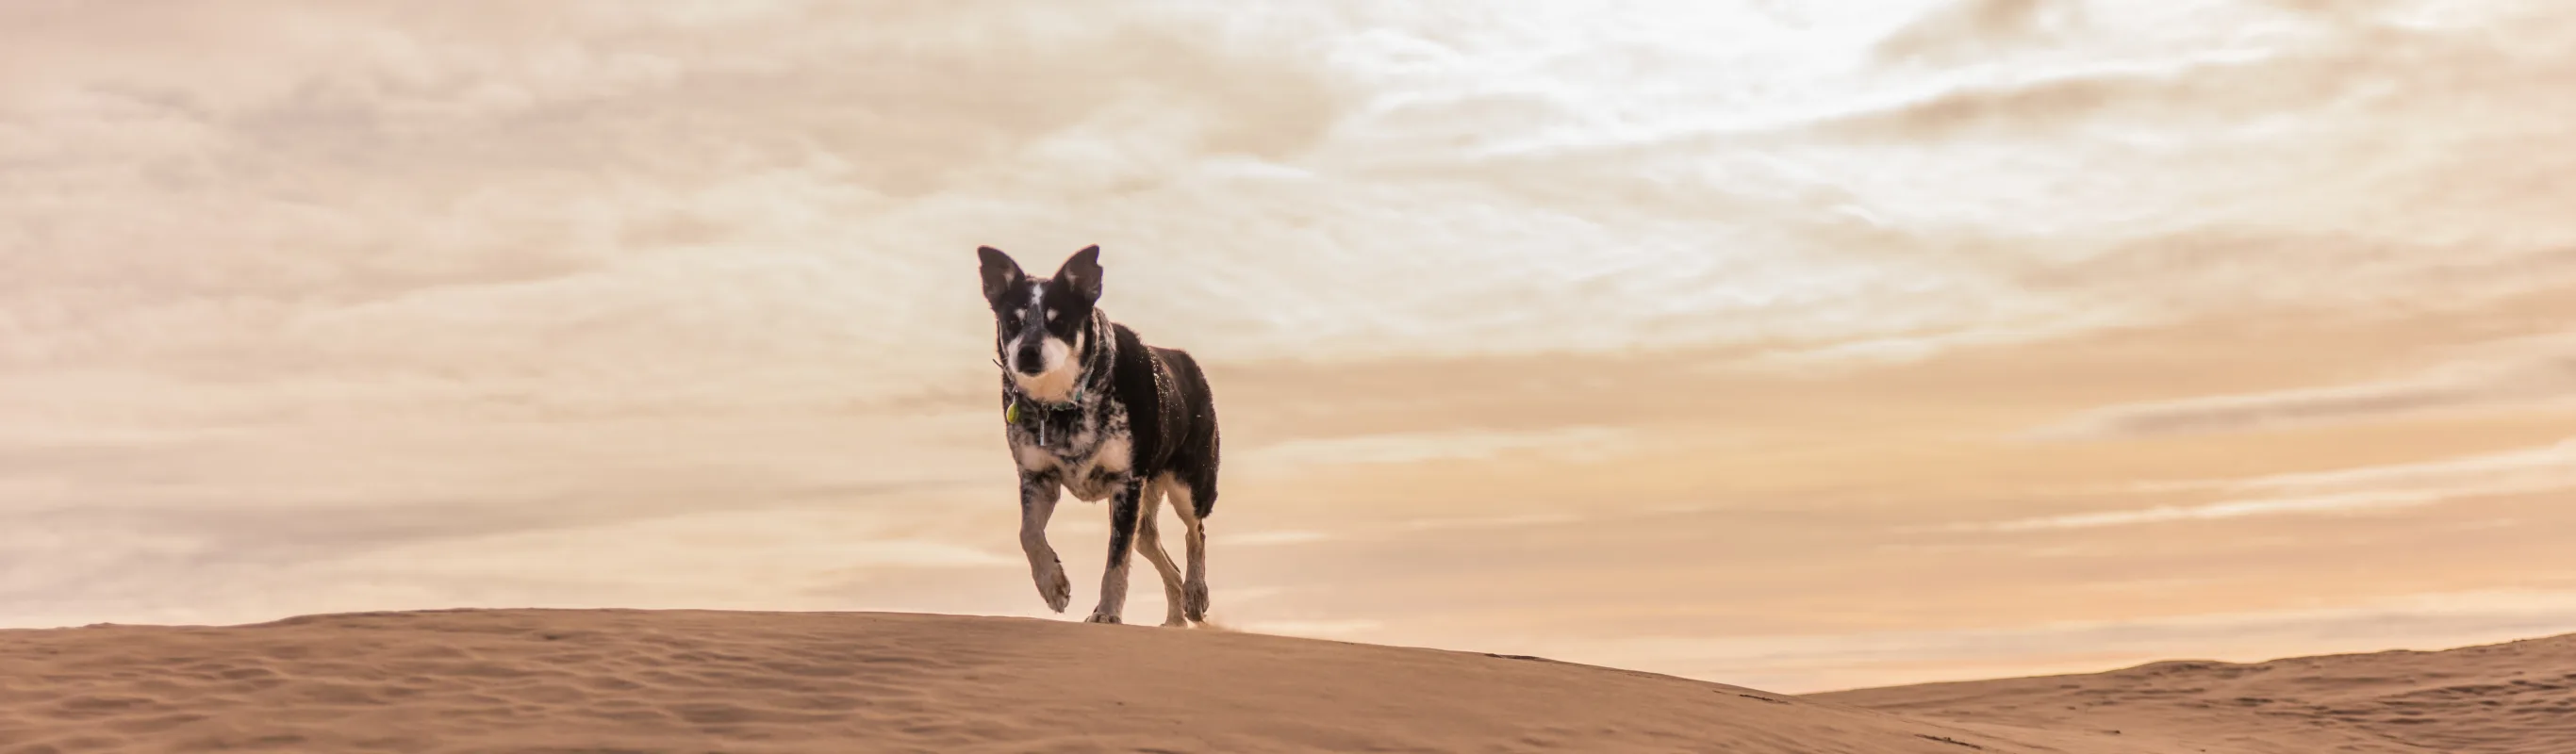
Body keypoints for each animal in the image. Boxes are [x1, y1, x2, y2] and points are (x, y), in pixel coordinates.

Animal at [983, 244, 1226, 622]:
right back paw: (1173, 621)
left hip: (1189, 483)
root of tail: (1186, 360)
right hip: (1143, 506)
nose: (1027, 353)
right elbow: (1028, 533)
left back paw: (1195, 593)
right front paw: (1053, 586)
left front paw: (1108, 614)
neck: (1064, 405)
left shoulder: (1127, 483)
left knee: (1195, 531)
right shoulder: (1037, 477)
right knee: (1156, 549)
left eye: (1059, 321)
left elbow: (1116, 561)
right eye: (1013, 322)